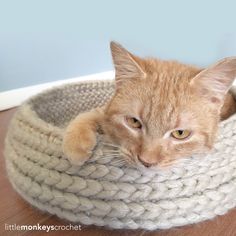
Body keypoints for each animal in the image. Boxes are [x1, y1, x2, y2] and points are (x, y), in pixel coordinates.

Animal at [62, 42, 236, 168]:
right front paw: (75, 143)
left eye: (180, 133)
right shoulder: (104, 111)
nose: (146, 162)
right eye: (133, 122)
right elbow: (89, 114)